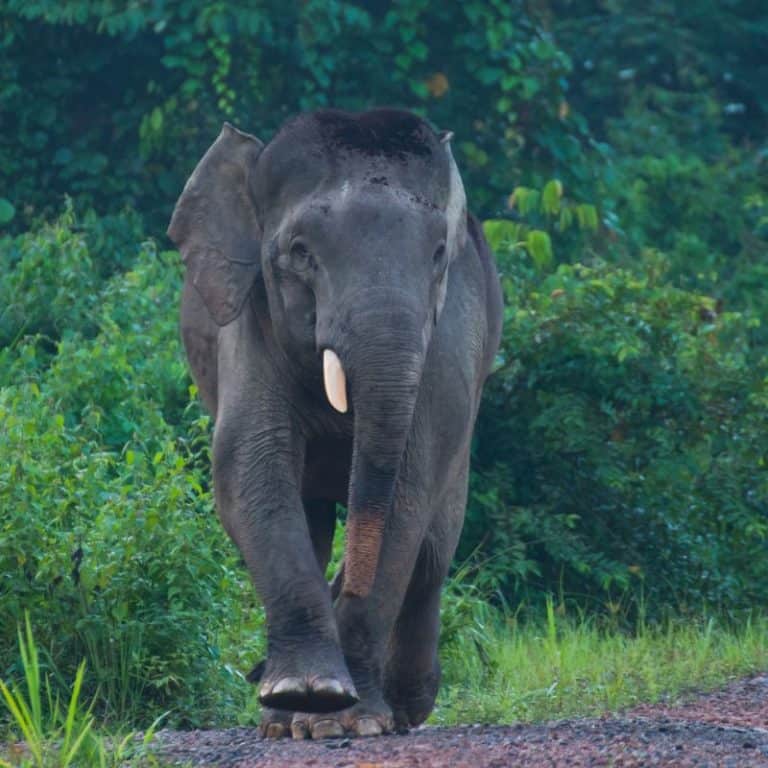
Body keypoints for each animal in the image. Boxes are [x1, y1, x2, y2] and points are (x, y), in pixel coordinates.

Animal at [166, 108, 504, 736]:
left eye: (439, 254)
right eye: (300, 252)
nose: (251, 673)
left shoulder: (444, 343)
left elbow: (405, 499)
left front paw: (353, 720)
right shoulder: (249, 325)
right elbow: (249, 474)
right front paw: (309, 696)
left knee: (433, 549)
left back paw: (406, 705)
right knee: (318, 524)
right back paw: (285, 716)